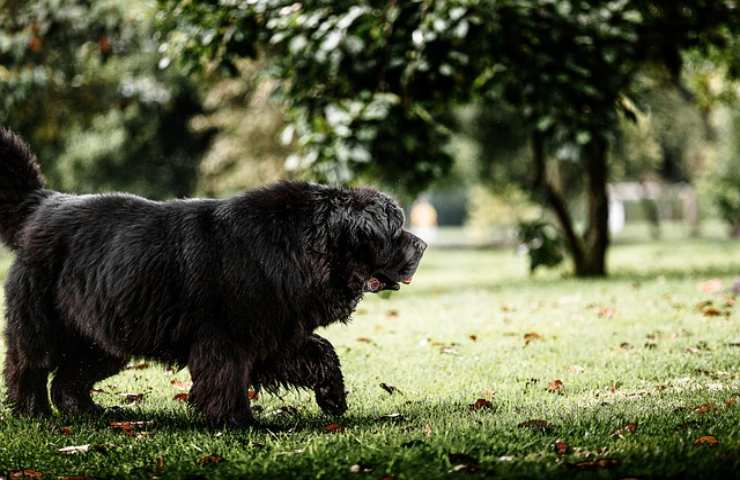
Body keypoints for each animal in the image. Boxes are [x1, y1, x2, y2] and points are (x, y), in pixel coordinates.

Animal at [0, 128, 424, 428]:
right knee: (29, 366)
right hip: (43, 322)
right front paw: (237, 421)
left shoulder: (274, 331)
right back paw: (32, 412)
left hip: (105, 333)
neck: (296, 247)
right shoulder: (225, 337)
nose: (421, 245)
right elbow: (225, 378)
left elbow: (320, 352)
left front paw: (333, 397)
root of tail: (43, 203)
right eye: (394, 231)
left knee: (70, 376)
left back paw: (90, 411)